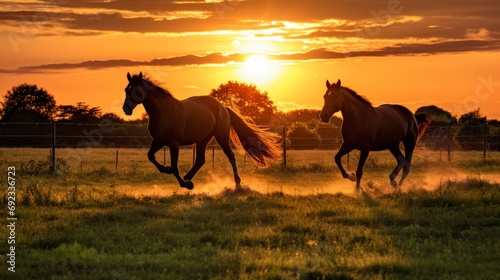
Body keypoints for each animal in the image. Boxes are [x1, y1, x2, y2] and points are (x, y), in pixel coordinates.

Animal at [119, 72, 280, 190]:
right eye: (126, 89)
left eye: (137, 91)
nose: (126, 109)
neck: (164, 112)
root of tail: (223, 107)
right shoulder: (159, 141)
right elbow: (150, 156)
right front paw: (167, 170)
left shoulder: (173, 143)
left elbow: (174, 167)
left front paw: (181, 182)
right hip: (203, 139)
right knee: (200, 160)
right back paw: (189, 179)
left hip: (221, 137)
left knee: (231, 156)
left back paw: (237, 183)